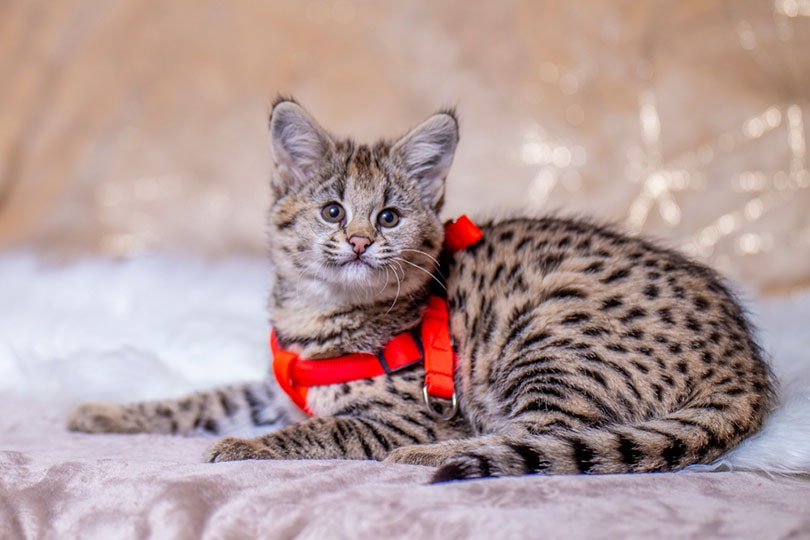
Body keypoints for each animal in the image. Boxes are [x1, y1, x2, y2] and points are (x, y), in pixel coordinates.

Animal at [71, 99, 772, 484]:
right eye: (331, 211)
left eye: (388, 217)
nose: (358, 241)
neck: (318, 312)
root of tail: (747, 364)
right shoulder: (280, 384)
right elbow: (201, 399)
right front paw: (107, 413)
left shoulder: (406, 409)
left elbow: (324, 430)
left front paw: (243, 448)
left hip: (550, 336)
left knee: (535, 438)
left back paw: (423, 457)